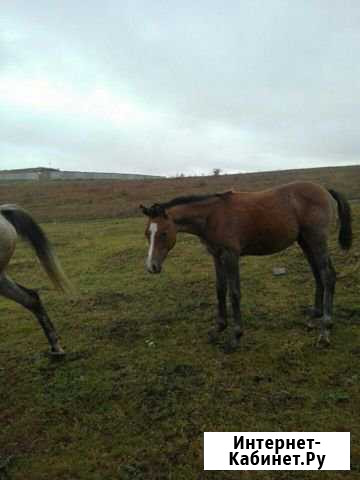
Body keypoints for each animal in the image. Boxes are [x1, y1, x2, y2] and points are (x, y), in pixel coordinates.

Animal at [141, 182, 352, 350]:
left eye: (164, 233)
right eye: (147, 233)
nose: (152, 266)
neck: (212, 216)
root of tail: (324, 189)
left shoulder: (231, 255)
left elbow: (234, 293)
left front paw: (235, 336)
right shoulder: (216, 255)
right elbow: (220, 289)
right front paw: (218, 328)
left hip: (317, 240)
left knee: (328, 275)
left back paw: (325, 330)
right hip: (305, 241)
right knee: (318, 273)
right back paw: (315, 314)